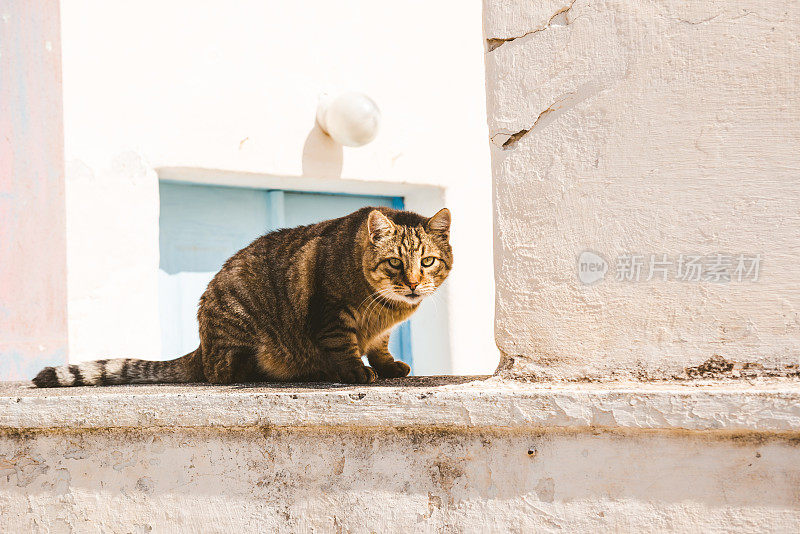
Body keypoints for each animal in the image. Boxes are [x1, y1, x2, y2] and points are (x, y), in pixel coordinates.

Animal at [32, 207, 450, 388]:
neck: (385, 307)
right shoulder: (331, 312)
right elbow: (344, 346)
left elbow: (380, 345)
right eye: (395, 262)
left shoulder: (381, 331)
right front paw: (355, 370)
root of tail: (201, 347)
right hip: (244, 334)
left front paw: (388, 364)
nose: (413, 284)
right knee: (229, 372)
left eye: (427, 262)